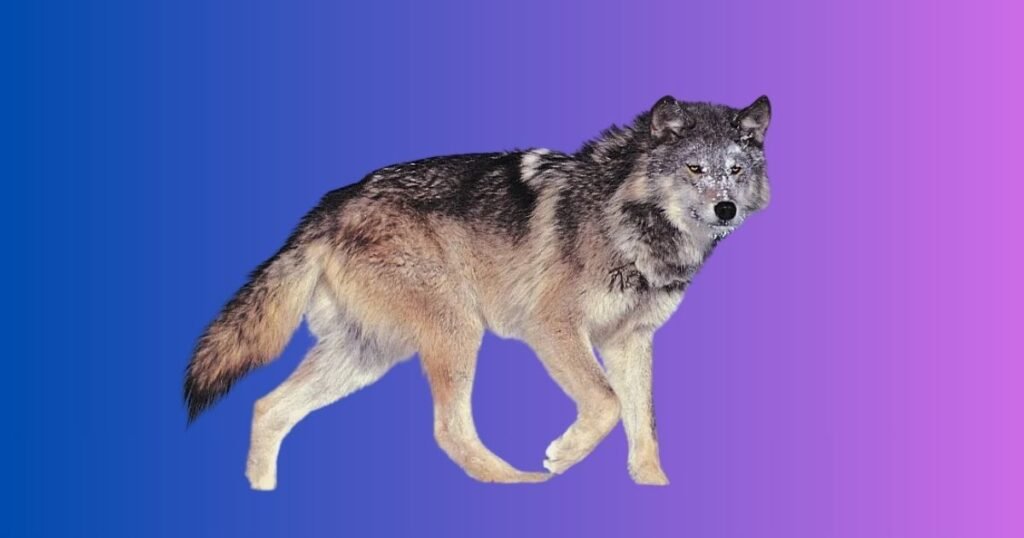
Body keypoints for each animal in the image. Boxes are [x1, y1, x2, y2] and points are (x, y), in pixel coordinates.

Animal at [184, 95, 772, 490]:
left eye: (735, 171)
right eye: (694, 168)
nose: (726, 209)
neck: (631, 224)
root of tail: (330, 205)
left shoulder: (630, 340)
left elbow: (643, 424)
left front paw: (654, 488)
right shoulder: (553, 327)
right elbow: (607, 403)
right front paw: (563, 456)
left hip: (366, 356)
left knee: (267, 407)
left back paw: (261, 491)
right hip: (456, 329)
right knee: (448, 430)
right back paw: (520, 483)